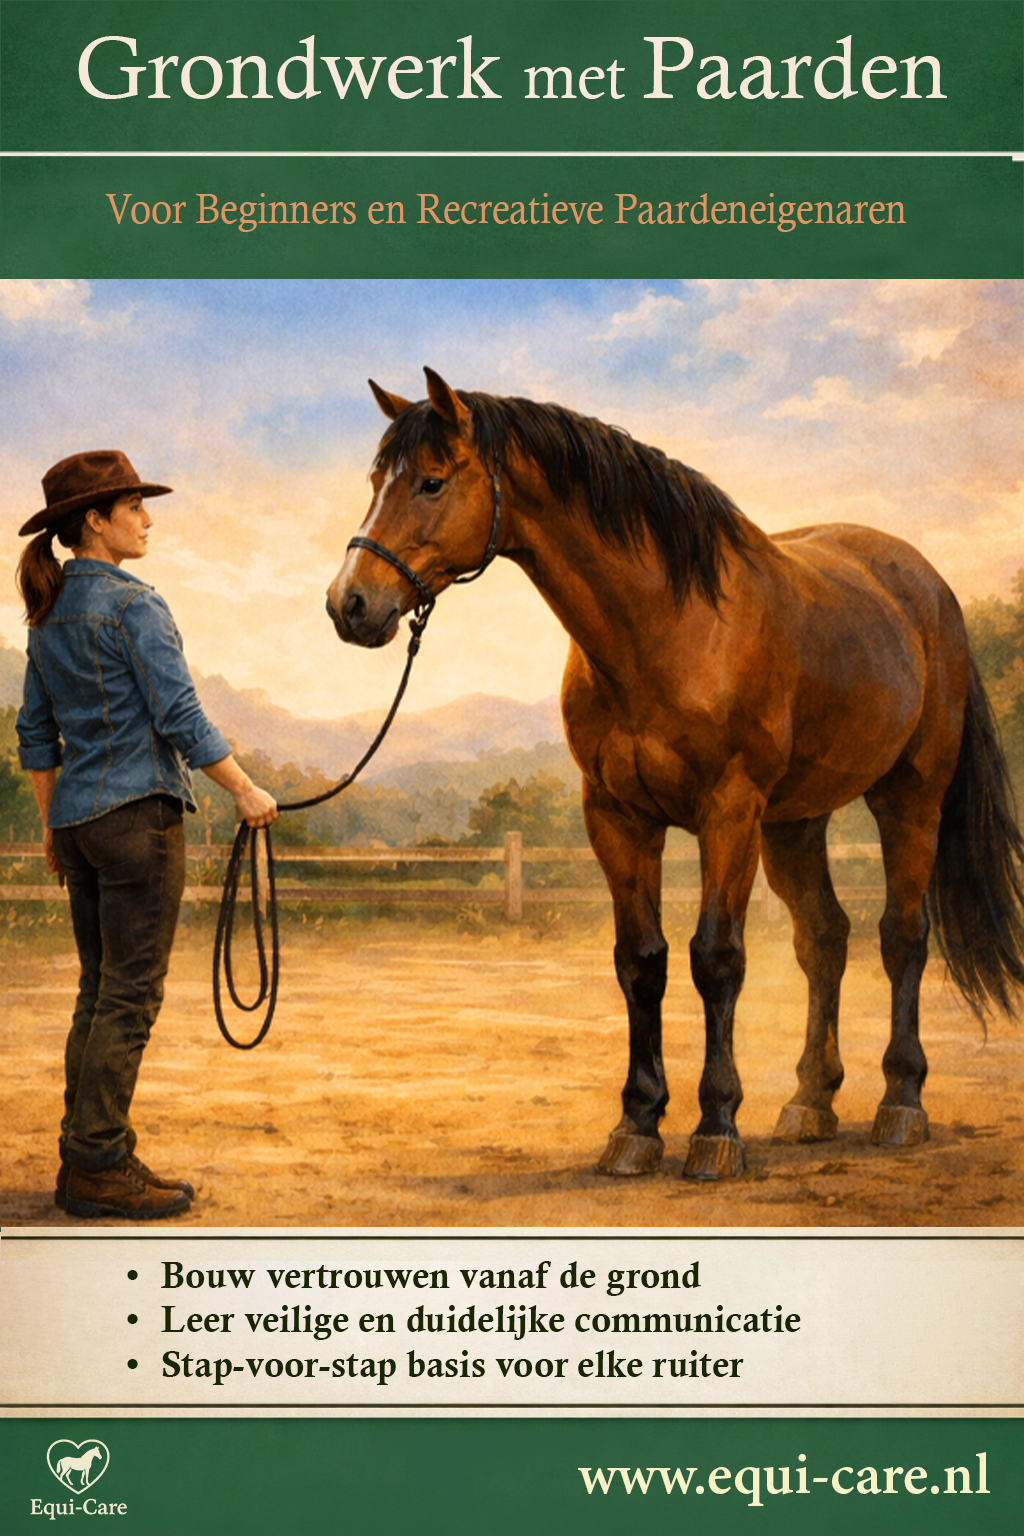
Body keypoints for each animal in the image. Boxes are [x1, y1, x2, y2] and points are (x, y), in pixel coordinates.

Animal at [326, 367, 1024, 1181]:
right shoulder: (618, 818)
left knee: (902, 936)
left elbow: (716, 959)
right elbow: (642, 962)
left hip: (907, 799)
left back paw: (900, 1105)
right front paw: (637, 1124)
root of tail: (930, 589)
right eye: (377, 480)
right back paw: (810, 1103)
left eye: (432, 481)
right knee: (824, 938)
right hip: (794, 823)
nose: (349, 603)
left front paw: (715, 1129)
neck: (665, 625)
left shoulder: (729, 813)